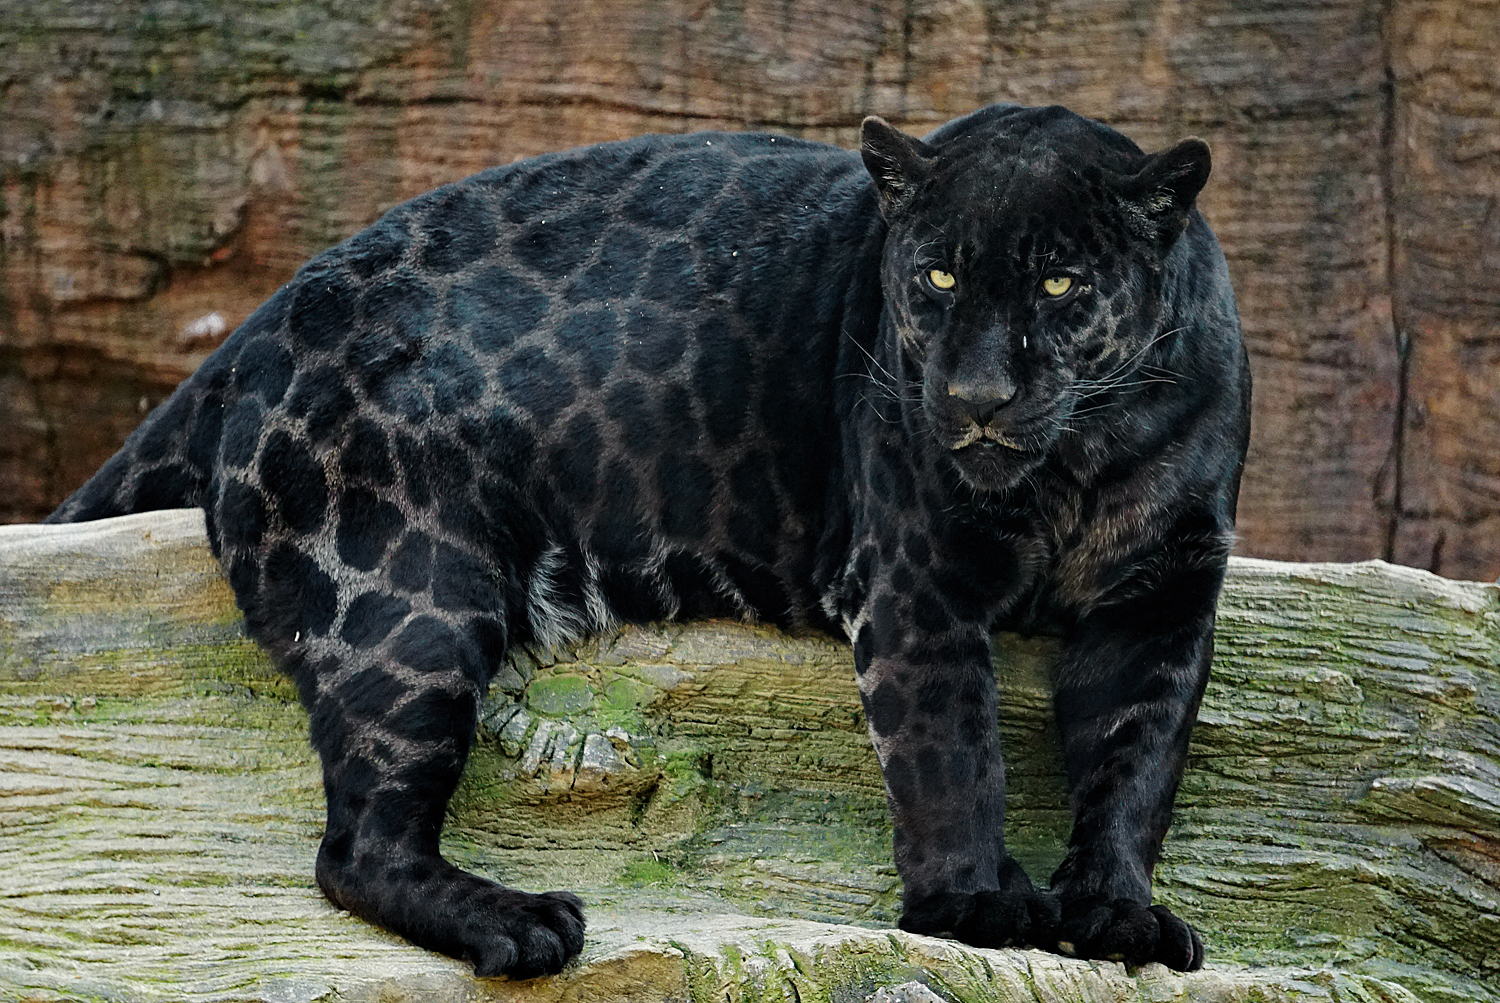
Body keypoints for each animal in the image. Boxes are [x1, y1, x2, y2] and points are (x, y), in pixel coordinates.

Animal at [46, 102, 1250, 979]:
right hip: (410, 600)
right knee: (357, 847)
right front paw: (977, 905)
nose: (977, 395)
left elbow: (1138, 764)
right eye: (939, 276)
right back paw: (521, 924)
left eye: (1059, 279)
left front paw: (1115, 913)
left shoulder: (1164, 592)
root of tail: (261, 323)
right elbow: (951, 751)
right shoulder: (919, 579)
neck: (1074, 469)